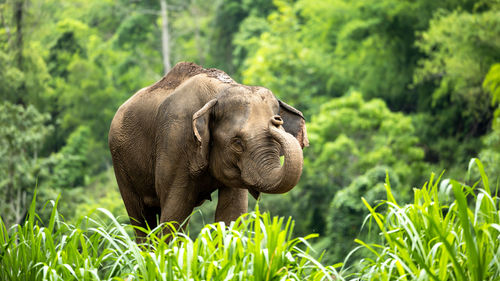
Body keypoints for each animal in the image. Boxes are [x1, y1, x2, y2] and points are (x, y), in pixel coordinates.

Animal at [109, 61, 308, 238]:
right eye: (237, 143)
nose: (276, 120)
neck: (219, 92)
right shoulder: (175, 140)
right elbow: (175, 213)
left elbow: (232, 213)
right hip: (120, 162)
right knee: (141, 218)